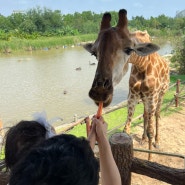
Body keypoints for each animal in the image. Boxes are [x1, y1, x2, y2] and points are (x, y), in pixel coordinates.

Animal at [84, 8, 169, 160]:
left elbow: (151, 130)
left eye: (129, 49)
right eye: (94, 53)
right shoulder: (133, 96)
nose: (99, 93)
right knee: (146, 114)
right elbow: (126, 128)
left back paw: (157, 142)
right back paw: (143, 139)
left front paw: (150, 158)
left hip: (161, 94)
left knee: (157, 115)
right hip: (144, 98)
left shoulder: (152, 97)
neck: (142, 65)